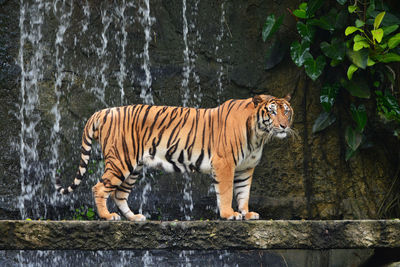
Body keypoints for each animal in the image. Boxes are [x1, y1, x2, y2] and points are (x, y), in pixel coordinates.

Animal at [55, 94, 294, 222]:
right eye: (272, 112)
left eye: (287, 111)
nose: (284, 126)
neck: (259, 135)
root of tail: (104, 111)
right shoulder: (225, 163)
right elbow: (226, 192)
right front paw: (229, 214)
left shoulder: (246, 168)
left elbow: (243, 192)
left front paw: (247, 213)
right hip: (120, 161)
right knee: (99, 187)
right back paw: (107, 217)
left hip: (133, 168)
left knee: (119, 194)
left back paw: (134, 218)